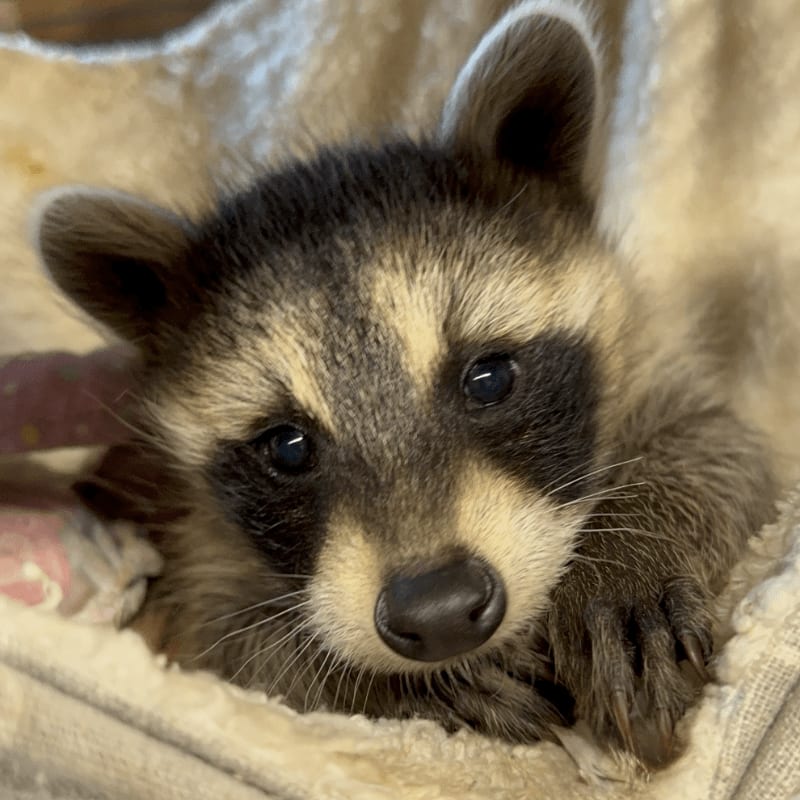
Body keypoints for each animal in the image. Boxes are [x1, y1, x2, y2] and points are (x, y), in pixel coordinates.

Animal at [32, 2, 777, 764]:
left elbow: (725, 444)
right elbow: (223, 642)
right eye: (287, 446)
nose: (440, 613)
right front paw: (373, 679)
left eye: (488, 378)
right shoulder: (193, 540)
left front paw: (630, 552)